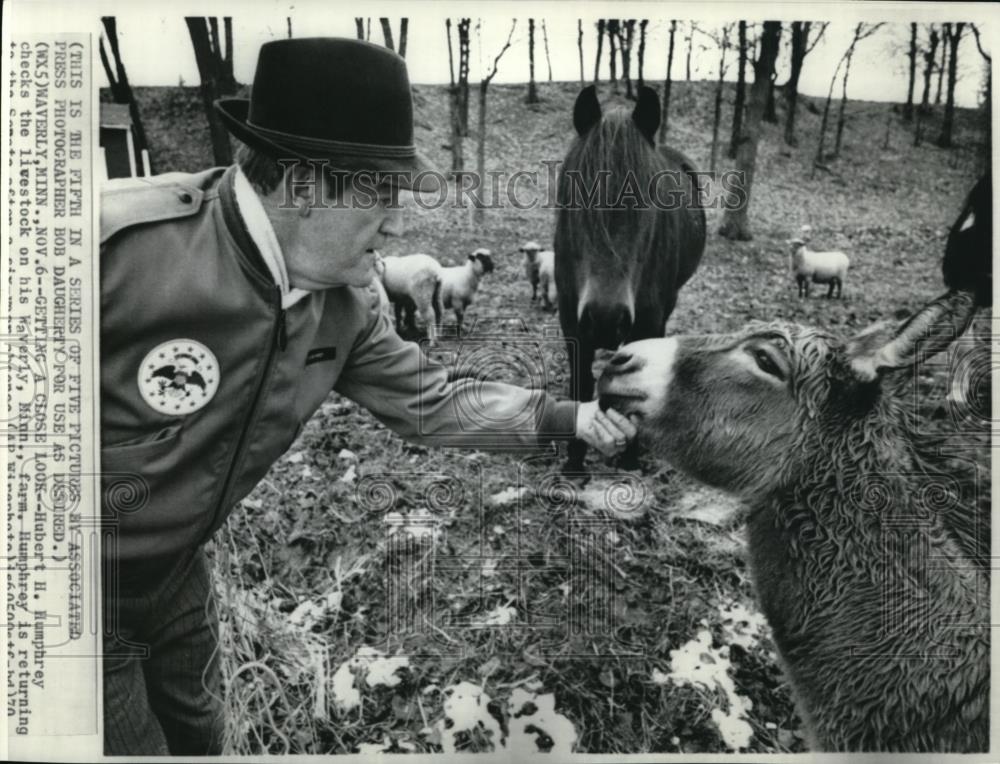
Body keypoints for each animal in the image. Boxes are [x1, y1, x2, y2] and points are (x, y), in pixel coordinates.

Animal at [552, 86, 708, 474]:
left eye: (649, 202)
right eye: (572, 199)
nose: (605, 319)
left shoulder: (647, 320)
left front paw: (630, 459)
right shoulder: (571, 321)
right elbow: (581, 384)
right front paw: (575, 462)